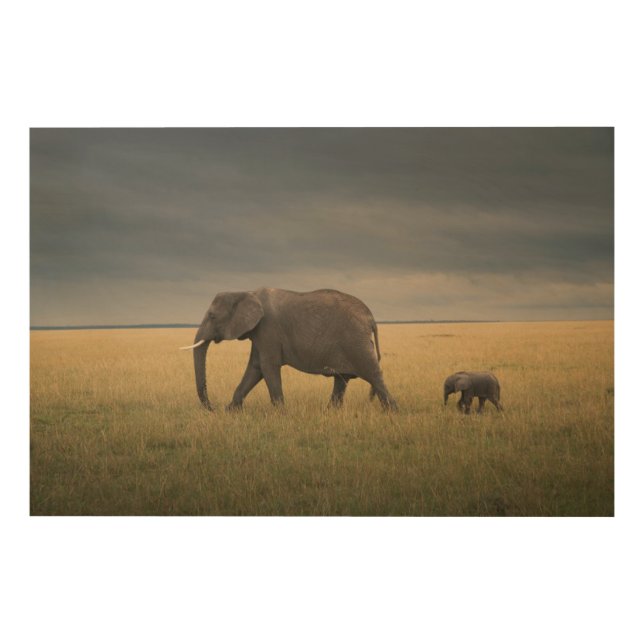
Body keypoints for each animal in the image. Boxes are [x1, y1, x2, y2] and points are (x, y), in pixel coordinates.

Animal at [180, 287, 398, 411]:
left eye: (212, 316)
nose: (212, 408)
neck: (245, 292)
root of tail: (371, 318)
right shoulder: (259, 333)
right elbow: (255, 368)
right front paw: (231, 411)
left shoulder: (268, 329)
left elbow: (267, 367)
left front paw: (280, 413)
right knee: (341, 379)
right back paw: (330, 411)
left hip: (356, 341)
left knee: (372, 374)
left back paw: (391, 412)